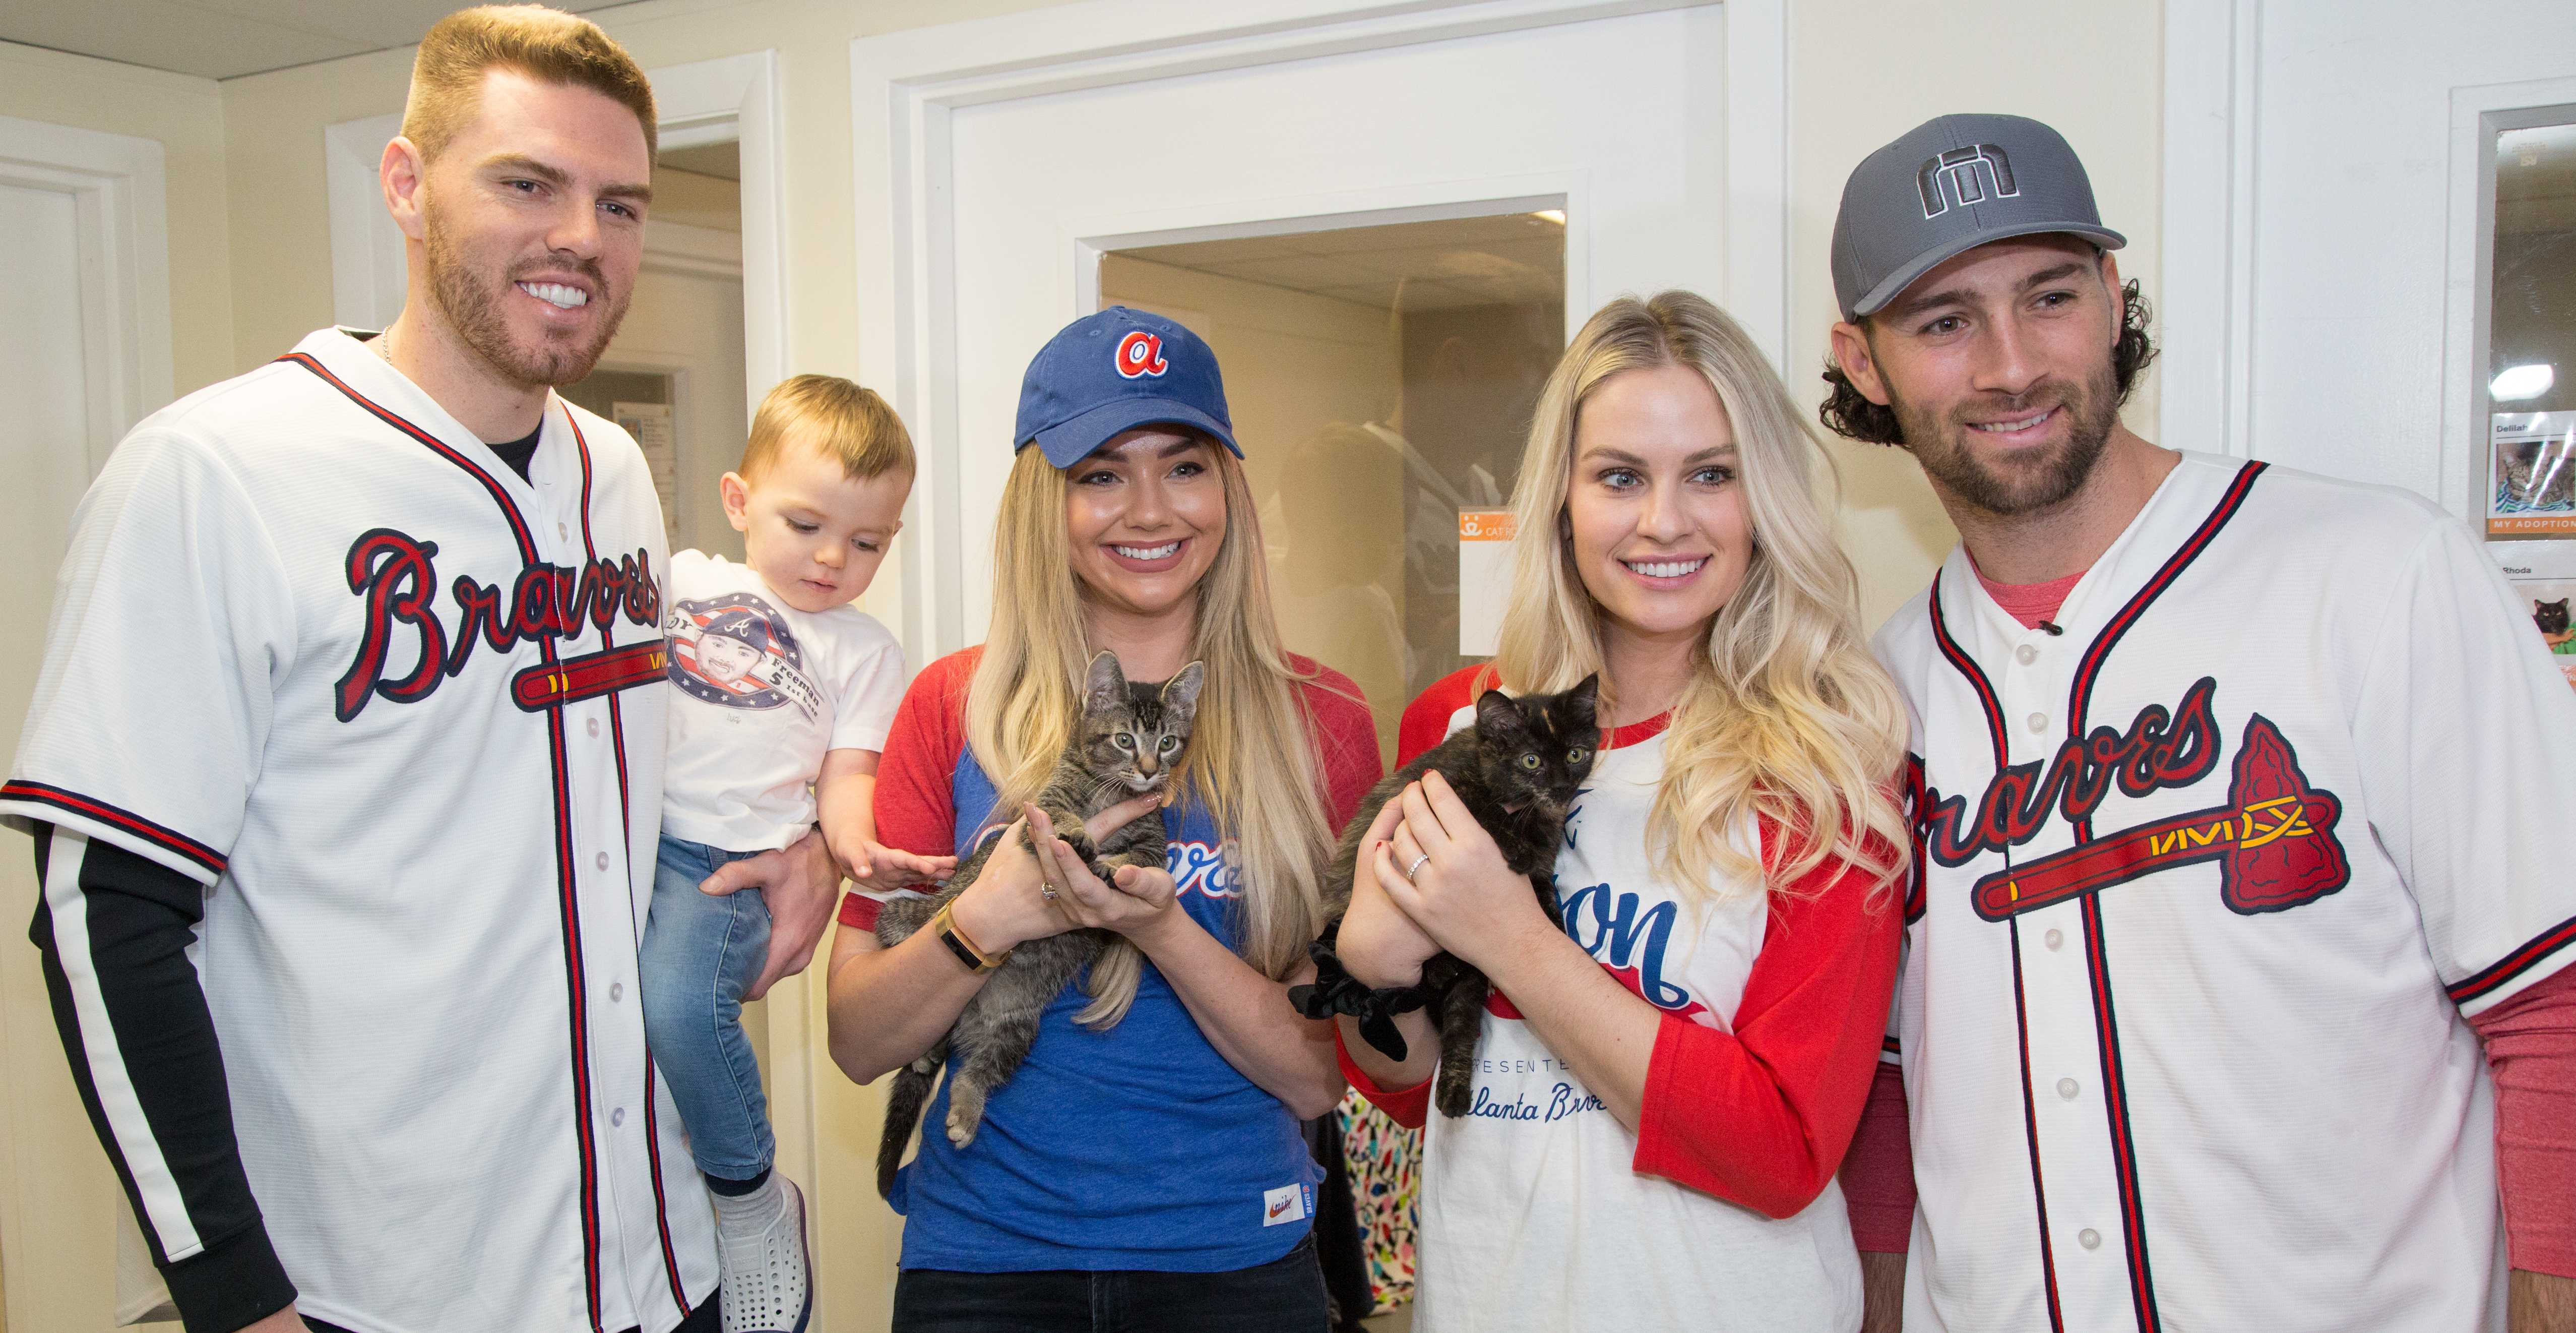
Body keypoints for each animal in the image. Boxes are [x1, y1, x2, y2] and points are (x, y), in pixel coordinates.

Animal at [870, 649, 1200, 1191]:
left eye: (1168, 742)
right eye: (1124, 740)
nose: (1150, 772)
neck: (1111, 793)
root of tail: (964, 1021)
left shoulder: (1155, 845)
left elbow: (1139, 861)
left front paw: (1112, 865)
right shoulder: (1040, 812)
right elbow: (1057, 817)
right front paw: (1078, 834)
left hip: (1016, 1031)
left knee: (977, 1072)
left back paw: (964, 1108)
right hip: (917, 919)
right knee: (897, 928)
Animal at [1298, 670, 1597, 1119]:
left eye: (1576, 754)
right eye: (1531, 761)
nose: (1562, 788)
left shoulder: (1544, 861)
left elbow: (1545, 888)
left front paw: (1555, 926)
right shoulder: (1429, 792)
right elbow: (1485, 812)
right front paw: (1517, 847)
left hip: (1467, 981)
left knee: (1460, 1028)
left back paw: (1453, 1093)